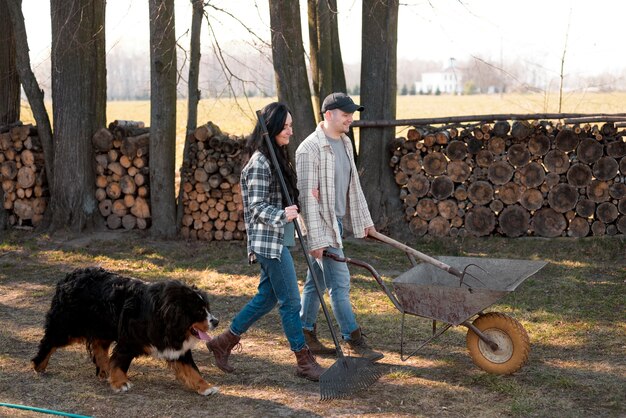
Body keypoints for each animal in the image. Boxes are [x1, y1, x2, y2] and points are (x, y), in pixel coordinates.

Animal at [31, 266, 219, 396]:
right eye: (199, 312)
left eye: (207, 308)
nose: (216, 322)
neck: (163, 318)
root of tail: (69, 277)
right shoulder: (129, 341)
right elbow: (120, 362)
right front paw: (120, 383)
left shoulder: (177, 349)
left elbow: (192, 370)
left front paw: (206, 387)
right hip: (68, 328)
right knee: (49, 342)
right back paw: (39, 365)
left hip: (102, 328)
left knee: (99, 348)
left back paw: (104, 371)